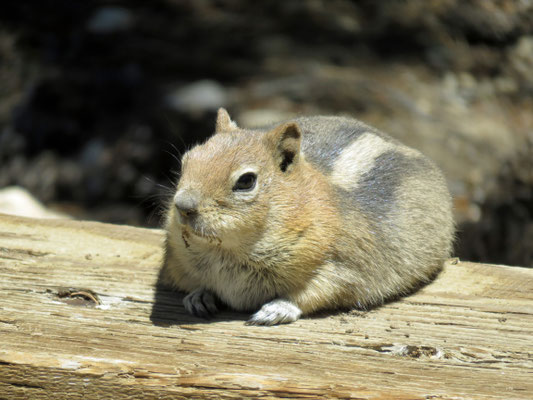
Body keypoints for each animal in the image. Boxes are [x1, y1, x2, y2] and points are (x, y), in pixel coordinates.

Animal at [162, 107, 454, 324]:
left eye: (246, 181)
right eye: (187, 160)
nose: (183, 206)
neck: (227, 250)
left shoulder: (344, 265)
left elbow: (313, 292)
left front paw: (277, 309)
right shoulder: (177, 260)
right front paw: (198, 296)